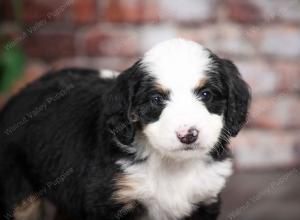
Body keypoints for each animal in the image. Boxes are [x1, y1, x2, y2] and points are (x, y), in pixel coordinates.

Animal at [0, 38, 251, 219]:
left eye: (206, 94)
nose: (188, 135)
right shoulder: (110, 201)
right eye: (156, 99)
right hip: (17, 192)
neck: (170, 165)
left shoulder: (204, 198)